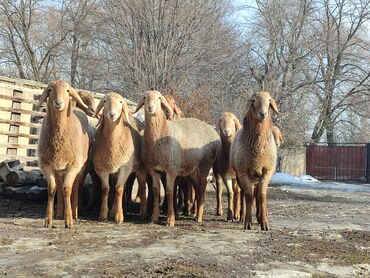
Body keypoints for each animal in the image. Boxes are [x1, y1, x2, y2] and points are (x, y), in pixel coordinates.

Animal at [37, 80, 90, 228]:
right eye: (50, 90)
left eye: (67, 91)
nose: (59, 103)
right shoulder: (46, 164)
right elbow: (52, 189)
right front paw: (48, 220)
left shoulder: (73, 165)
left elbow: (67, 189)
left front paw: (69, 220)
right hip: (59, 168)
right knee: (59, 186)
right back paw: (59, 213)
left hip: (80, 167)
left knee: (75, 185)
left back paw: (75, 213)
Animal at [92, 92, 147, 223]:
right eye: (105, 101)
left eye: (121, 102)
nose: (112, 114)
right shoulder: (102, 169)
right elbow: (106, 189)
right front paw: (104, 214)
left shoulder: (125, 168)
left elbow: (119, 189)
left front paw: (119, 216)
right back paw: (113, 211)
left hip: (140, 168)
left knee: (142, 186)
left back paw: (142, 211)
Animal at [134, 90, 220, 227]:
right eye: (145, 97)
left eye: (159, 98)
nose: (150, 107)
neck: (162, 132)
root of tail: (214, 133)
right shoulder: (154, 170)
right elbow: (156, 190)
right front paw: (154, 217)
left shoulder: (171, 169)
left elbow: (170, 191)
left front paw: (171, 219)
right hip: (192, 170)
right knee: (197, 187)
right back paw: (195, 213)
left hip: (205, 165)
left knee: (202, 187)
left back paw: (199, 217)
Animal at [230, 91, 278, 230]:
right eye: (254, 101)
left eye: (269, 101)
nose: (263, 114)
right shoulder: (243, 172)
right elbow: (248, 196)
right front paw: (247, 222)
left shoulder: (266, 172)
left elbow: (262, 196)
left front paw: (265, 223)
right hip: (240, 176)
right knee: (243, 194)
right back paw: (242, 216)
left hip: (257, 176)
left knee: (257, 194)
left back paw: (260, 216)